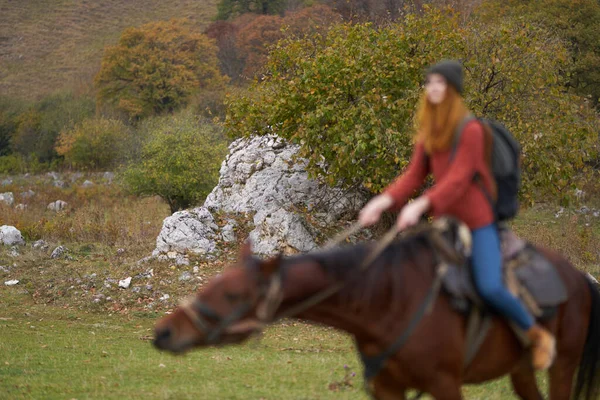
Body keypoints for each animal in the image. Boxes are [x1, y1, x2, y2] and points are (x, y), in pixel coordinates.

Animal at [155, 227, 600, 398]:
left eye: (231, 294)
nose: (163, 333)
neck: (387, 302)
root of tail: (578, 278)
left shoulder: (445, 384)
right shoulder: (387, 389)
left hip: (563, 366)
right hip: (521, 371)